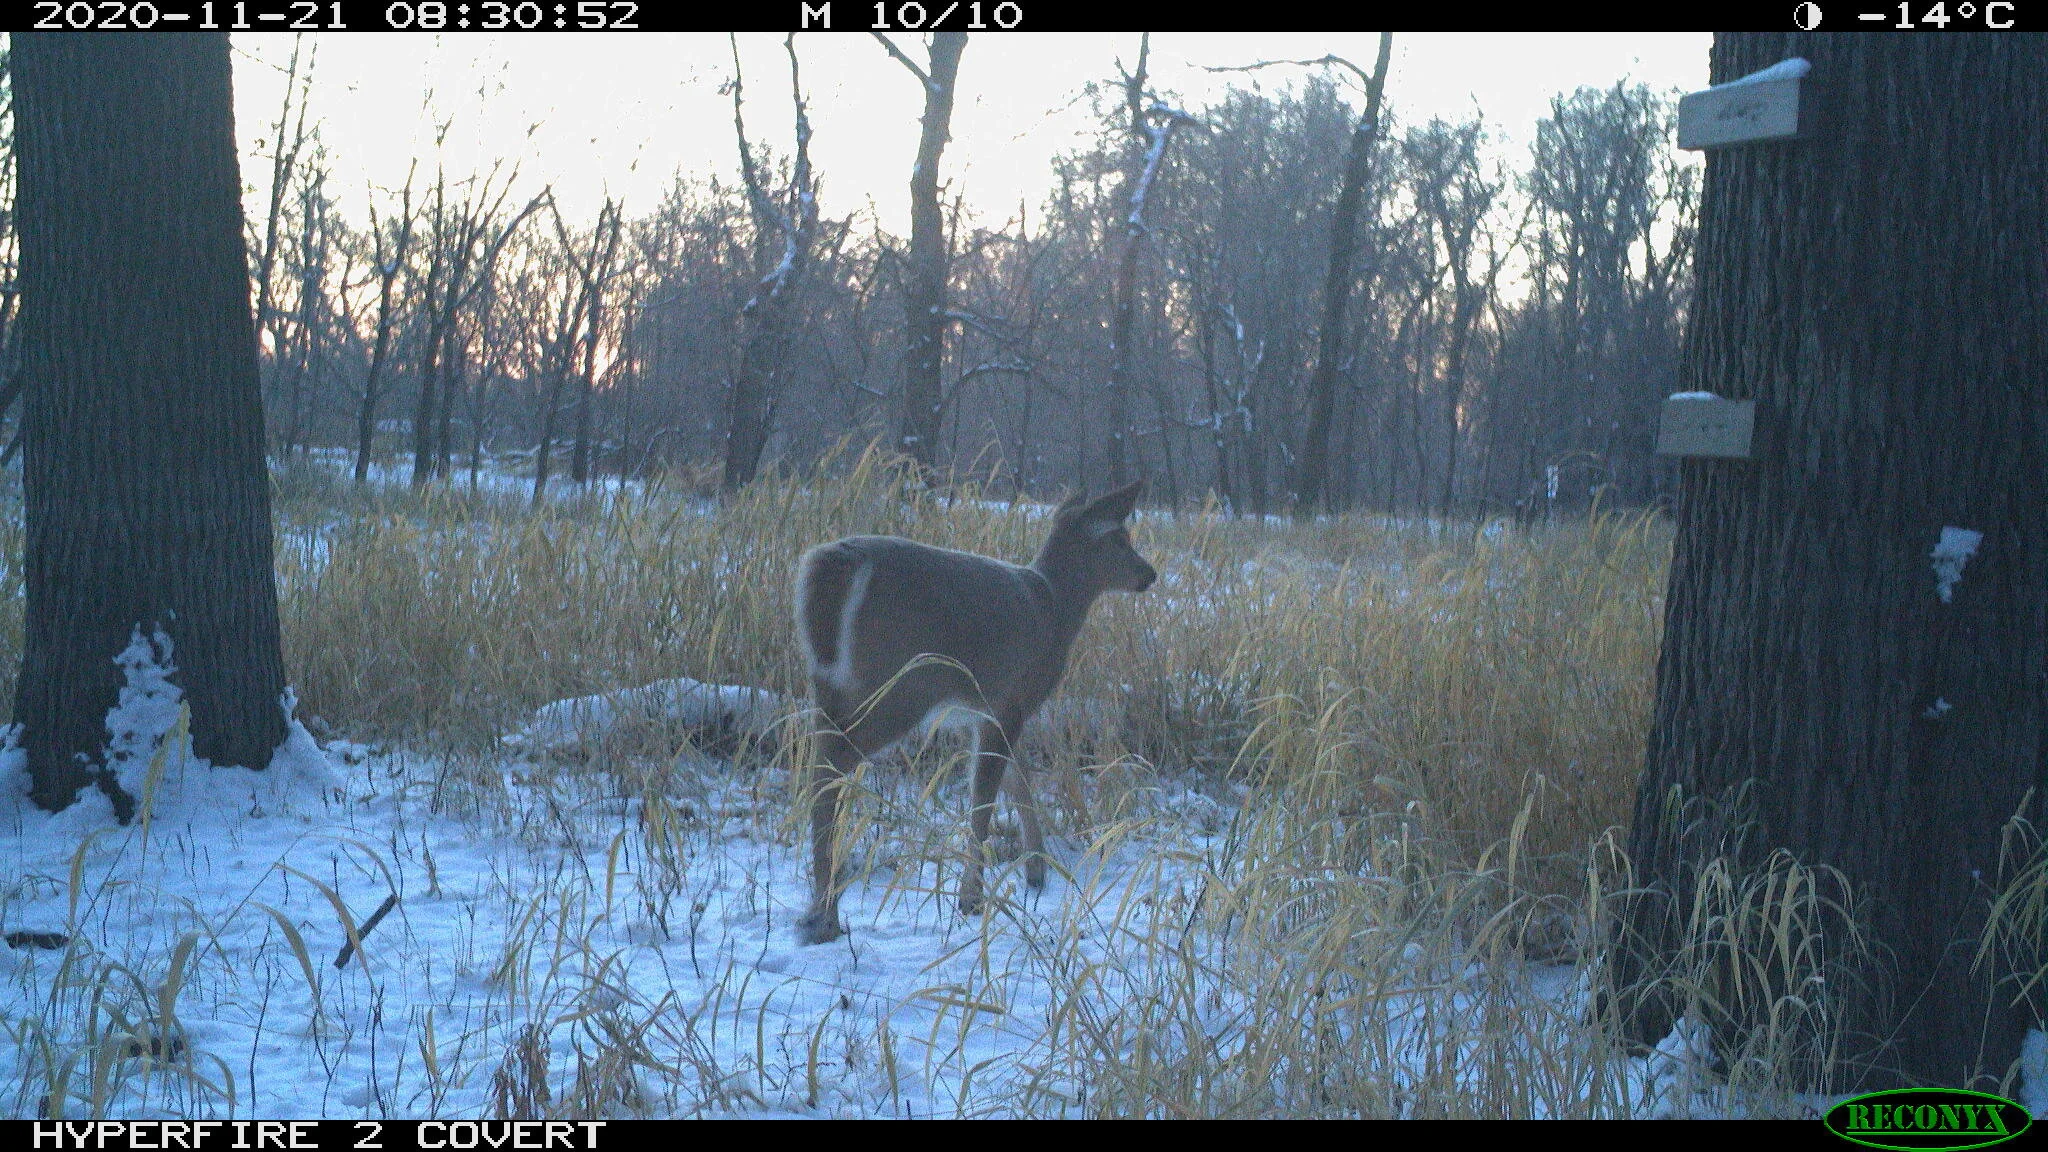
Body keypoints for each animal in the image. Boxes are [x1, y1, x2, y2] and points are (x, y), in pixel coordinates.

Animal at [792, 480, 1156, 945]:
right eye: (1120, 539)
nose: (1149, 574)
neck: (1055, 608)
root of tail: (833, 566)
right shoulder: (1010, 696)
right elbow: (984, 794)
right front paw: (971, 898)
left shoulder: (986, 710)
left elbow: (1018, 779)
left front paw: (1036, 871)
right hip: (902, 683)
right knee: (833, 762)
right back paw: (826, 915)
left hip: (827, 683)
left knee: (818, 759)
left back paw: (817, 907)